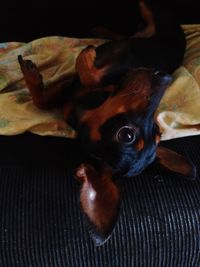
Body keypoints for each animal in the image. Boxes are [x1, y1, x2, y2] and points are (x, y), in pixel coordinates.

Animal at [17, 0, 195, 247]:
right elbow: (43, 100)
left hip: (159, 21)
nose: (165, 77)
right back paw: (101, 31)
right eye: (158, 131)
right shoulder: (68, 90)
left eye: (126, 135)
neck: (88, 104)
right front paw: (33, 76)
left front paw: (87, 54)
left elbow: (91, 74)